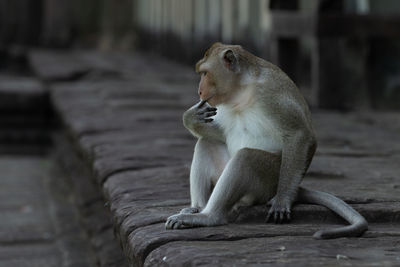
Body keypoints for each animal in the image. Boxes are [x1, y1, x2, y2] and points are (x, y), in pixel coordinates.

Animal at [164, 43, 368, 240]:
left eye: (205, 73)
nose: (199, 91)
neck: (242, 89)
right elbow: (221, 134)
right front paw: (190, 118)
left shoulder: (270, 94)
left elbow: (300, 134)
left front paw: (283, 199)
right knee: (207, 143)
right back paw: (197, 208)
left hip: (266, 183)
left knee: (246, 157)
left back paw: (208, 217)